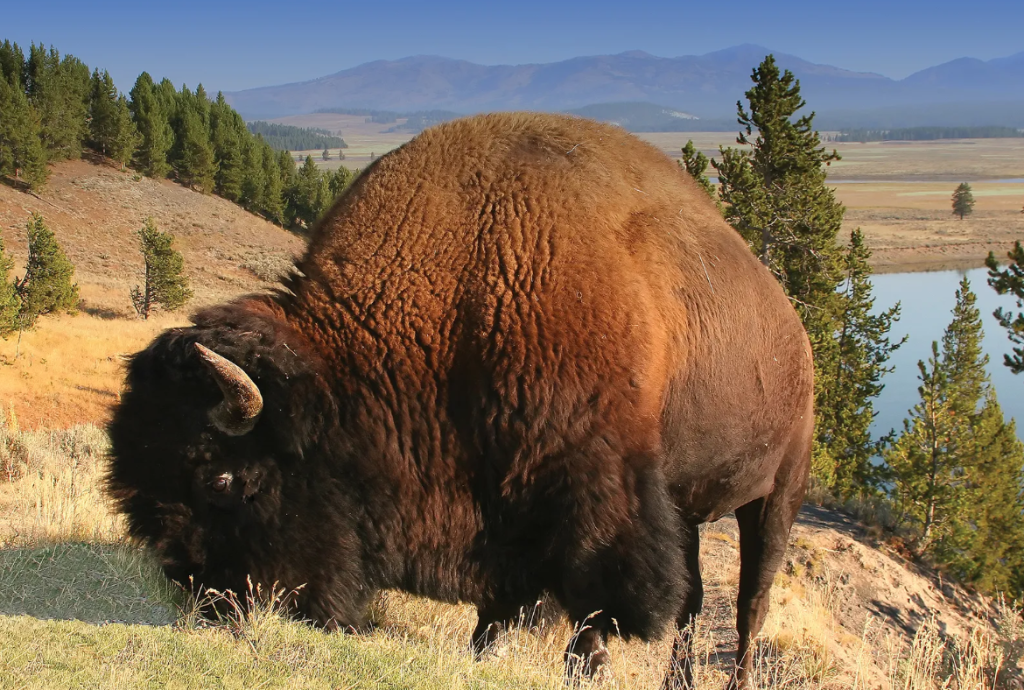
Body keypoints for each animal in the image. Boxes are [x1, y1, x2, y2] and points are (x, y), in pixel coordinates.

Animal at [108, 111, 811, 683]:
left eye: (223, 479)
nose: (207, 596)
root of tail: (796, 334)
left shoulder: (597, 490)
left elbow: (595, 597)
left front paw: (581, 668)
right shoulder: (505, 493)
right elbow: (504, 597)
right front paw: (482, 652)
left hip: (779, 492)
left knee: (749, 604)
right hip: (690, 506)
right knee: (694, 603)